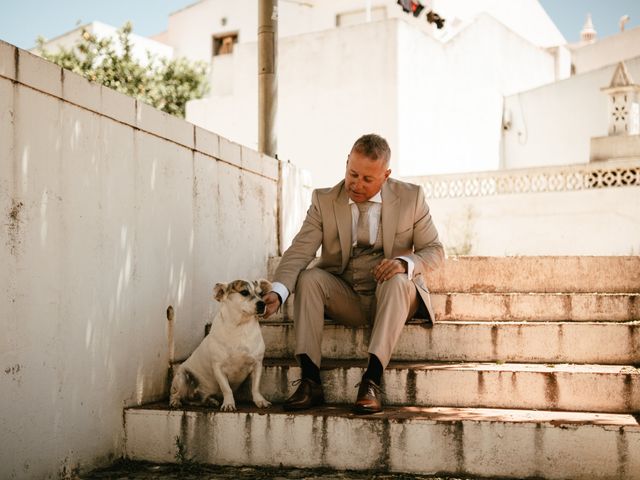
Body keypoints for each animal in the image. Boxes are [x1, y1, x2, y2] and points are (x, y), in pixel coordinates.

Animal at [169, 280, 272, 410]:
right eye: (244, 292)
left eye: (261, 294)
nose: (262, 304)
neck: (240, 327)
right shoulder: (218, 367)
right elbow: (226, 388)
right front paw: (228, 404)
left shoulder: (257, 364)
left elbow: (255, 387)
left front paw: (260, 401)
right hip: (183, 376)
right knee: (176, 394)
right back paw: (175, 402)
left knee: (195, 400)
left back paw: (209, 401)